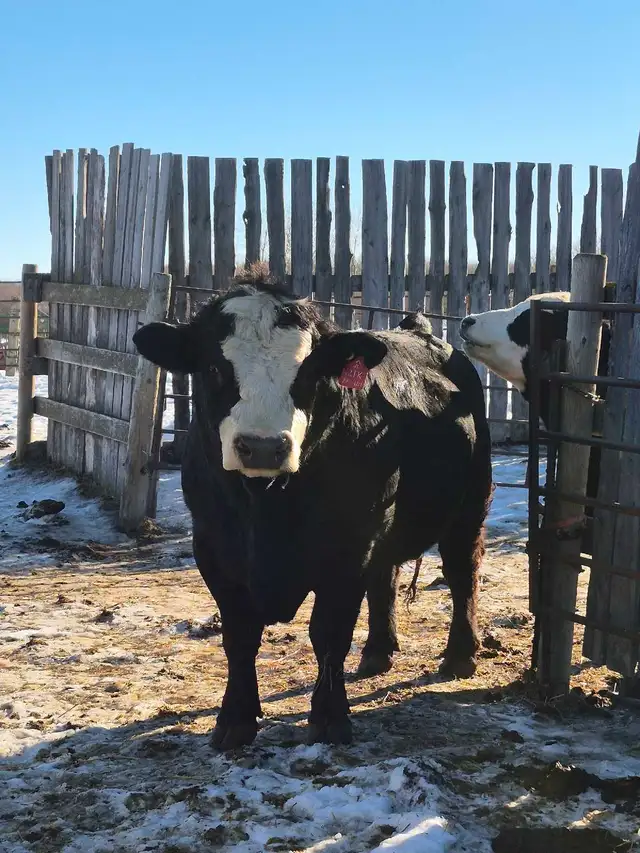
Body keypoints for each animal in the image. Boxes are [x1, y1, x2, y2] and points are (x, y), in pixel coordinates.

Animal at [133, 269, 492, 749]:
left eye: (308, 373)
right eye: (213, 368)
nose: (262, 446)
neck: (267, 505)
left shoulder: (349, 548)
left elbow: (329, 633)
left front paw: (329, 717)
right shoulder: (213, 547)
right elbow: (239, 636)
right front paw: (235, 719)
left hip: (470, 505)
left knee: (462, 573)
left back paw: (459, 656)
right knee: (387, 577)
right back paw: (377, 651)